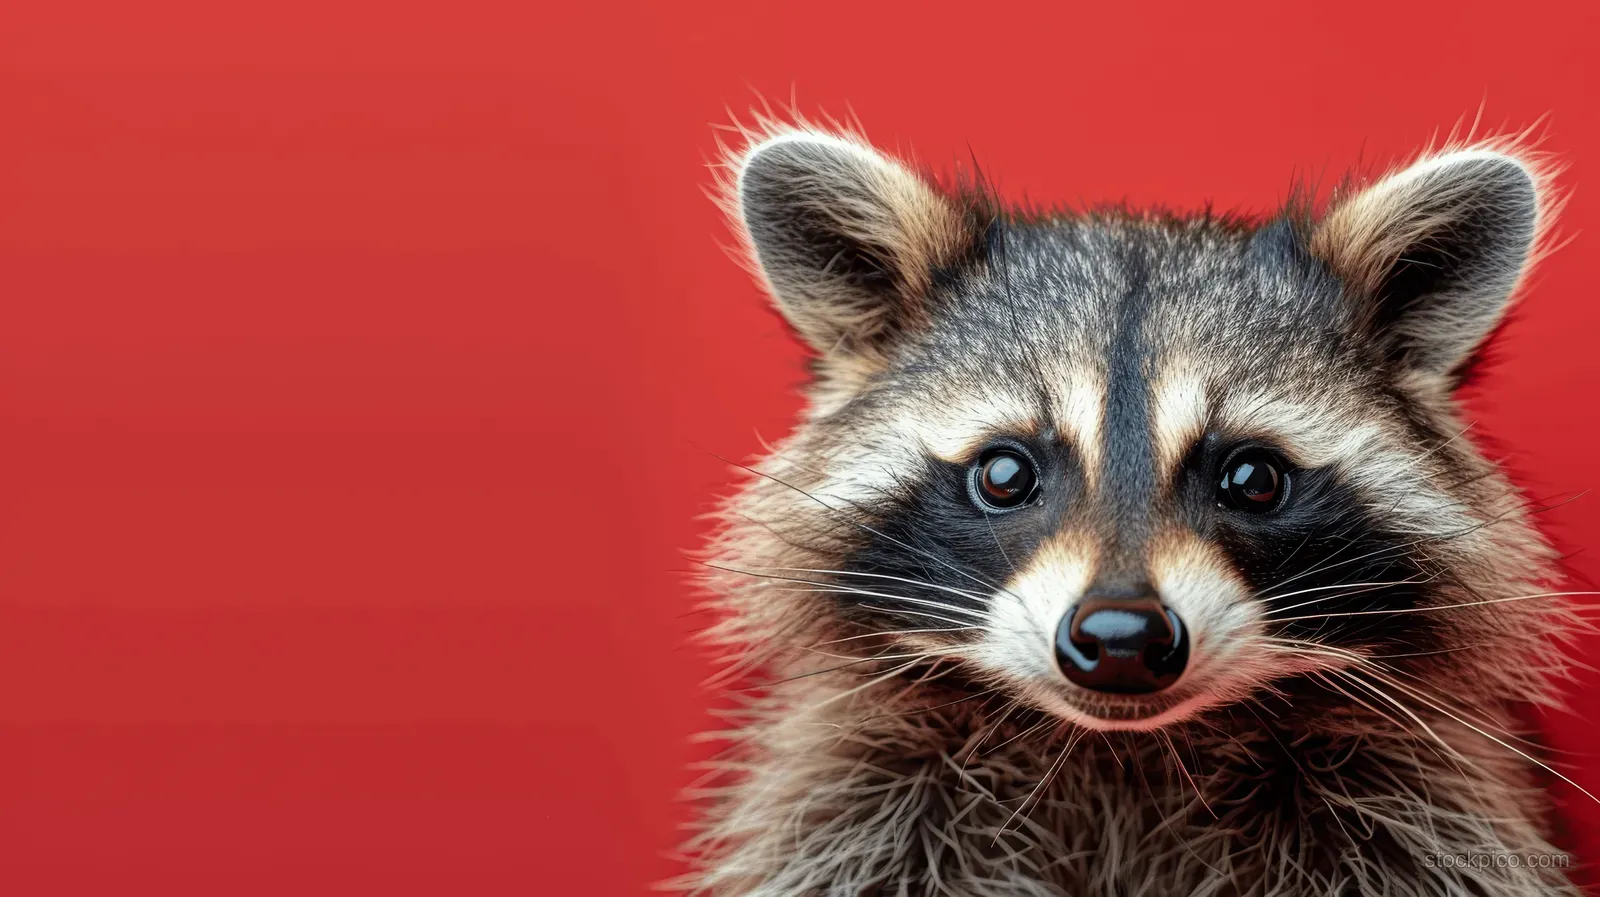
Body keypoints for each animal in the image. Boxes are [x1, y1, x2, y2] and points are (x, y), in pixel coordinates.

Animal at [678, 120, 1584, 897]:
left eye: (1253, 477)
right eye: (1004, 472)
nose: (1120, 637)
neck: (1124, 752)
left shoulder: (1421, 807)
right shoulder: (856, 797)